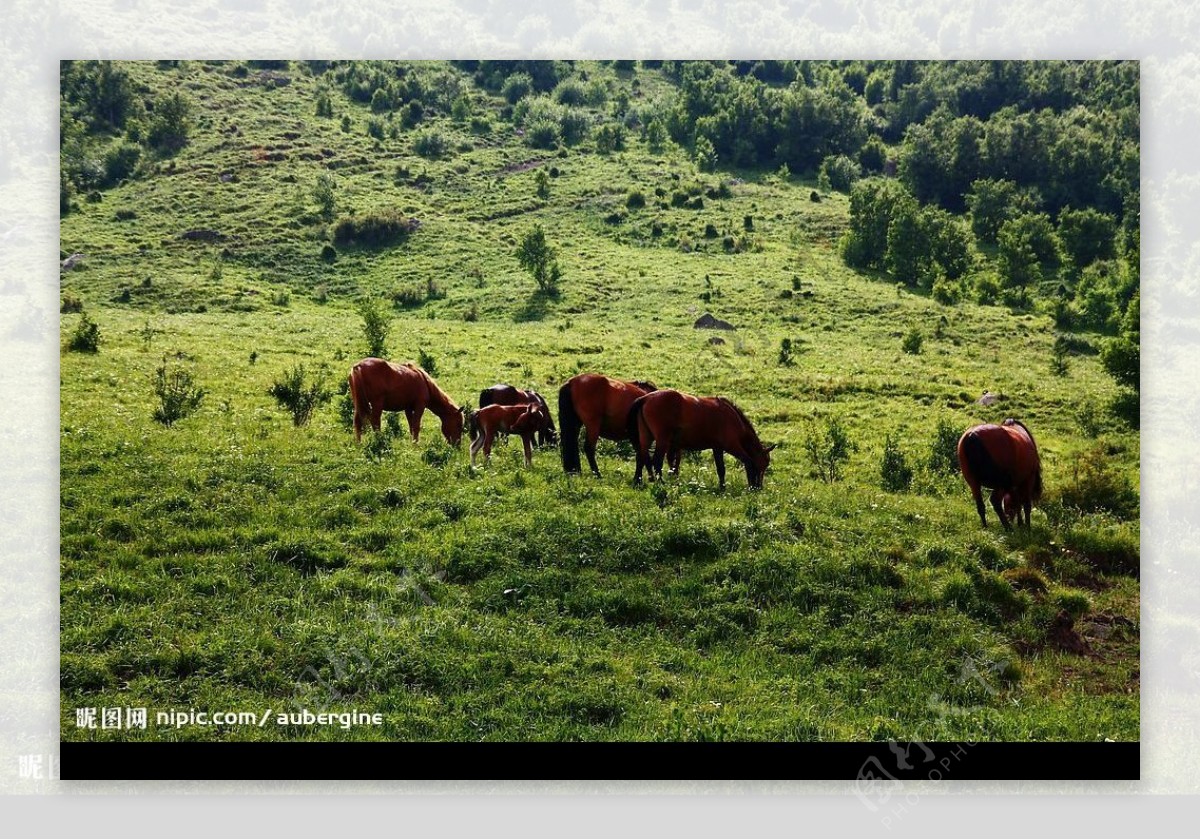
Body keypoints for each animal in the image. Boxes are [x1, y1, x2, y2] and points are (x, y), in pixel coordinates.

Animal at [628, 388, 777, 489]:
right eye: (762, 465)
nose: (759, 487)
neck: (732, 418)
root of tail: (646, 398)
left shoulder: (717, 448)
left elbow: (721, 469)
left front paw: (722, 488)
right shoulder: (731, 445)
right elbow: (748, 461)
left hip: (646, 438)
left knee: (641, 457)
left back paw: (638, 480)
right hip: (662, 440)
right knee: (657, 461)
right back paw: (660, 483)